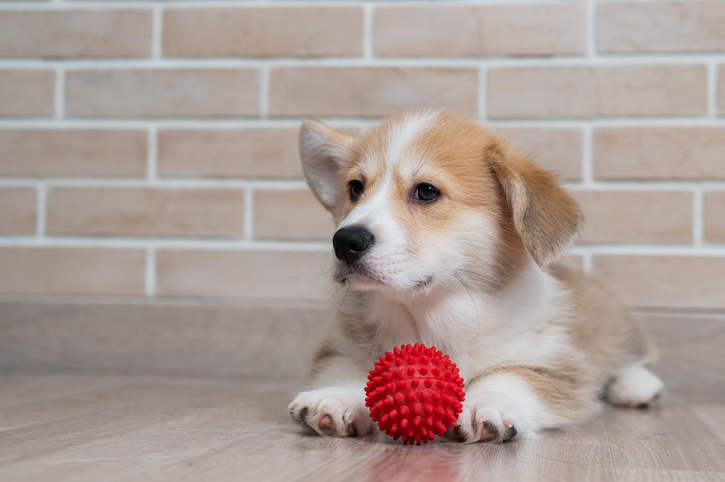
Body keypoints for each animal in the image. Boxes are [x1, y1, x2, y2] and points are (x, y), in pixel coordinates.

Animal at [288, 111, 660, 442]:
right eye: (354, 188)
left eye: (426, 191)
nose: (345, 242)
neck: (429, 315)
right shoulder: (339, 350)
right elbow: (351, 370)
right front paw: (334, 397)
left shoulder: (558, 367)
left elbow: (512, 375)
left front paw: (487, 402)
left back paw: (636, 386)